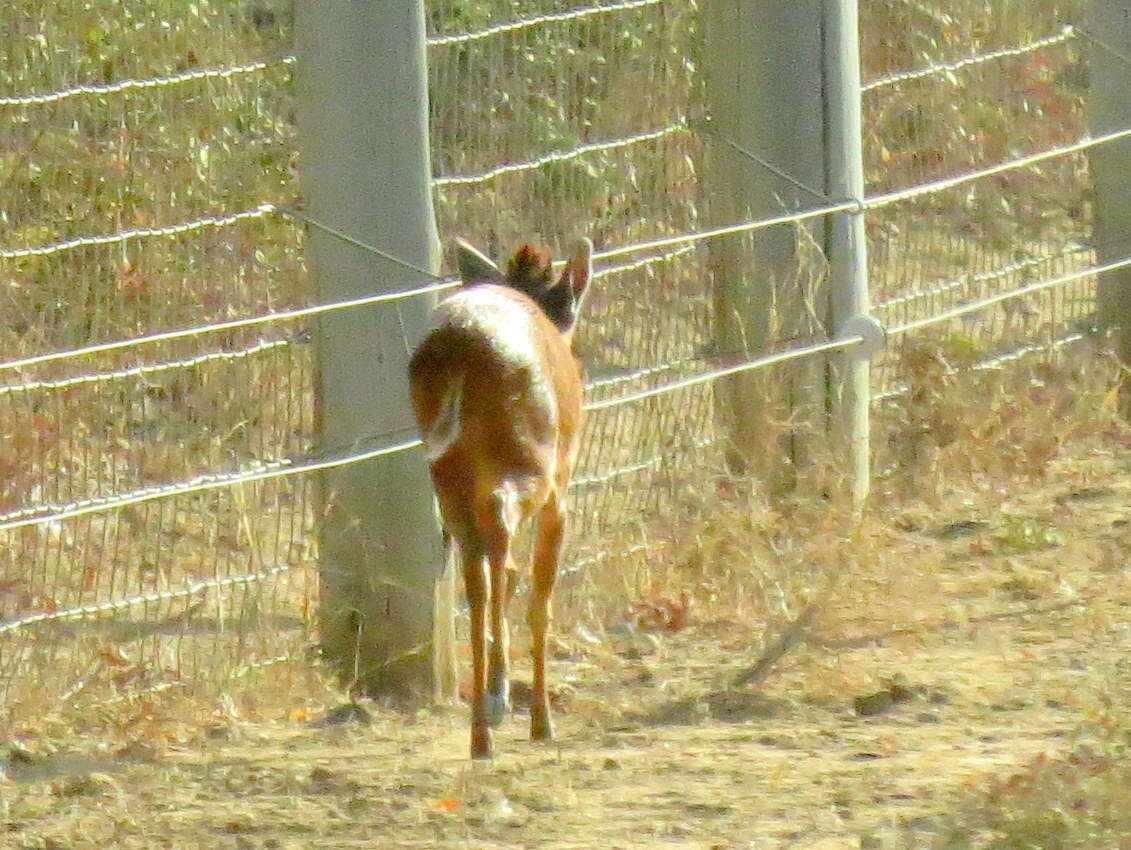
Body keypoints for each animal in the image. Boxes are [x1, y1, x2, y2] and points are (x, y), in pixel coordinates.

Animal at [411, 237, 597, 755]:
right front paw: (539, 719)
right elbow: (541, 597)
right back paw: (503, 705)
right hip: (528, 455)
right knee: (497, 536)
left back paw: (480, 731)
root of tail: (456, 347)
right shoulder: (560, 491)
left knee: (474, 569)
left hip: (446, 470)